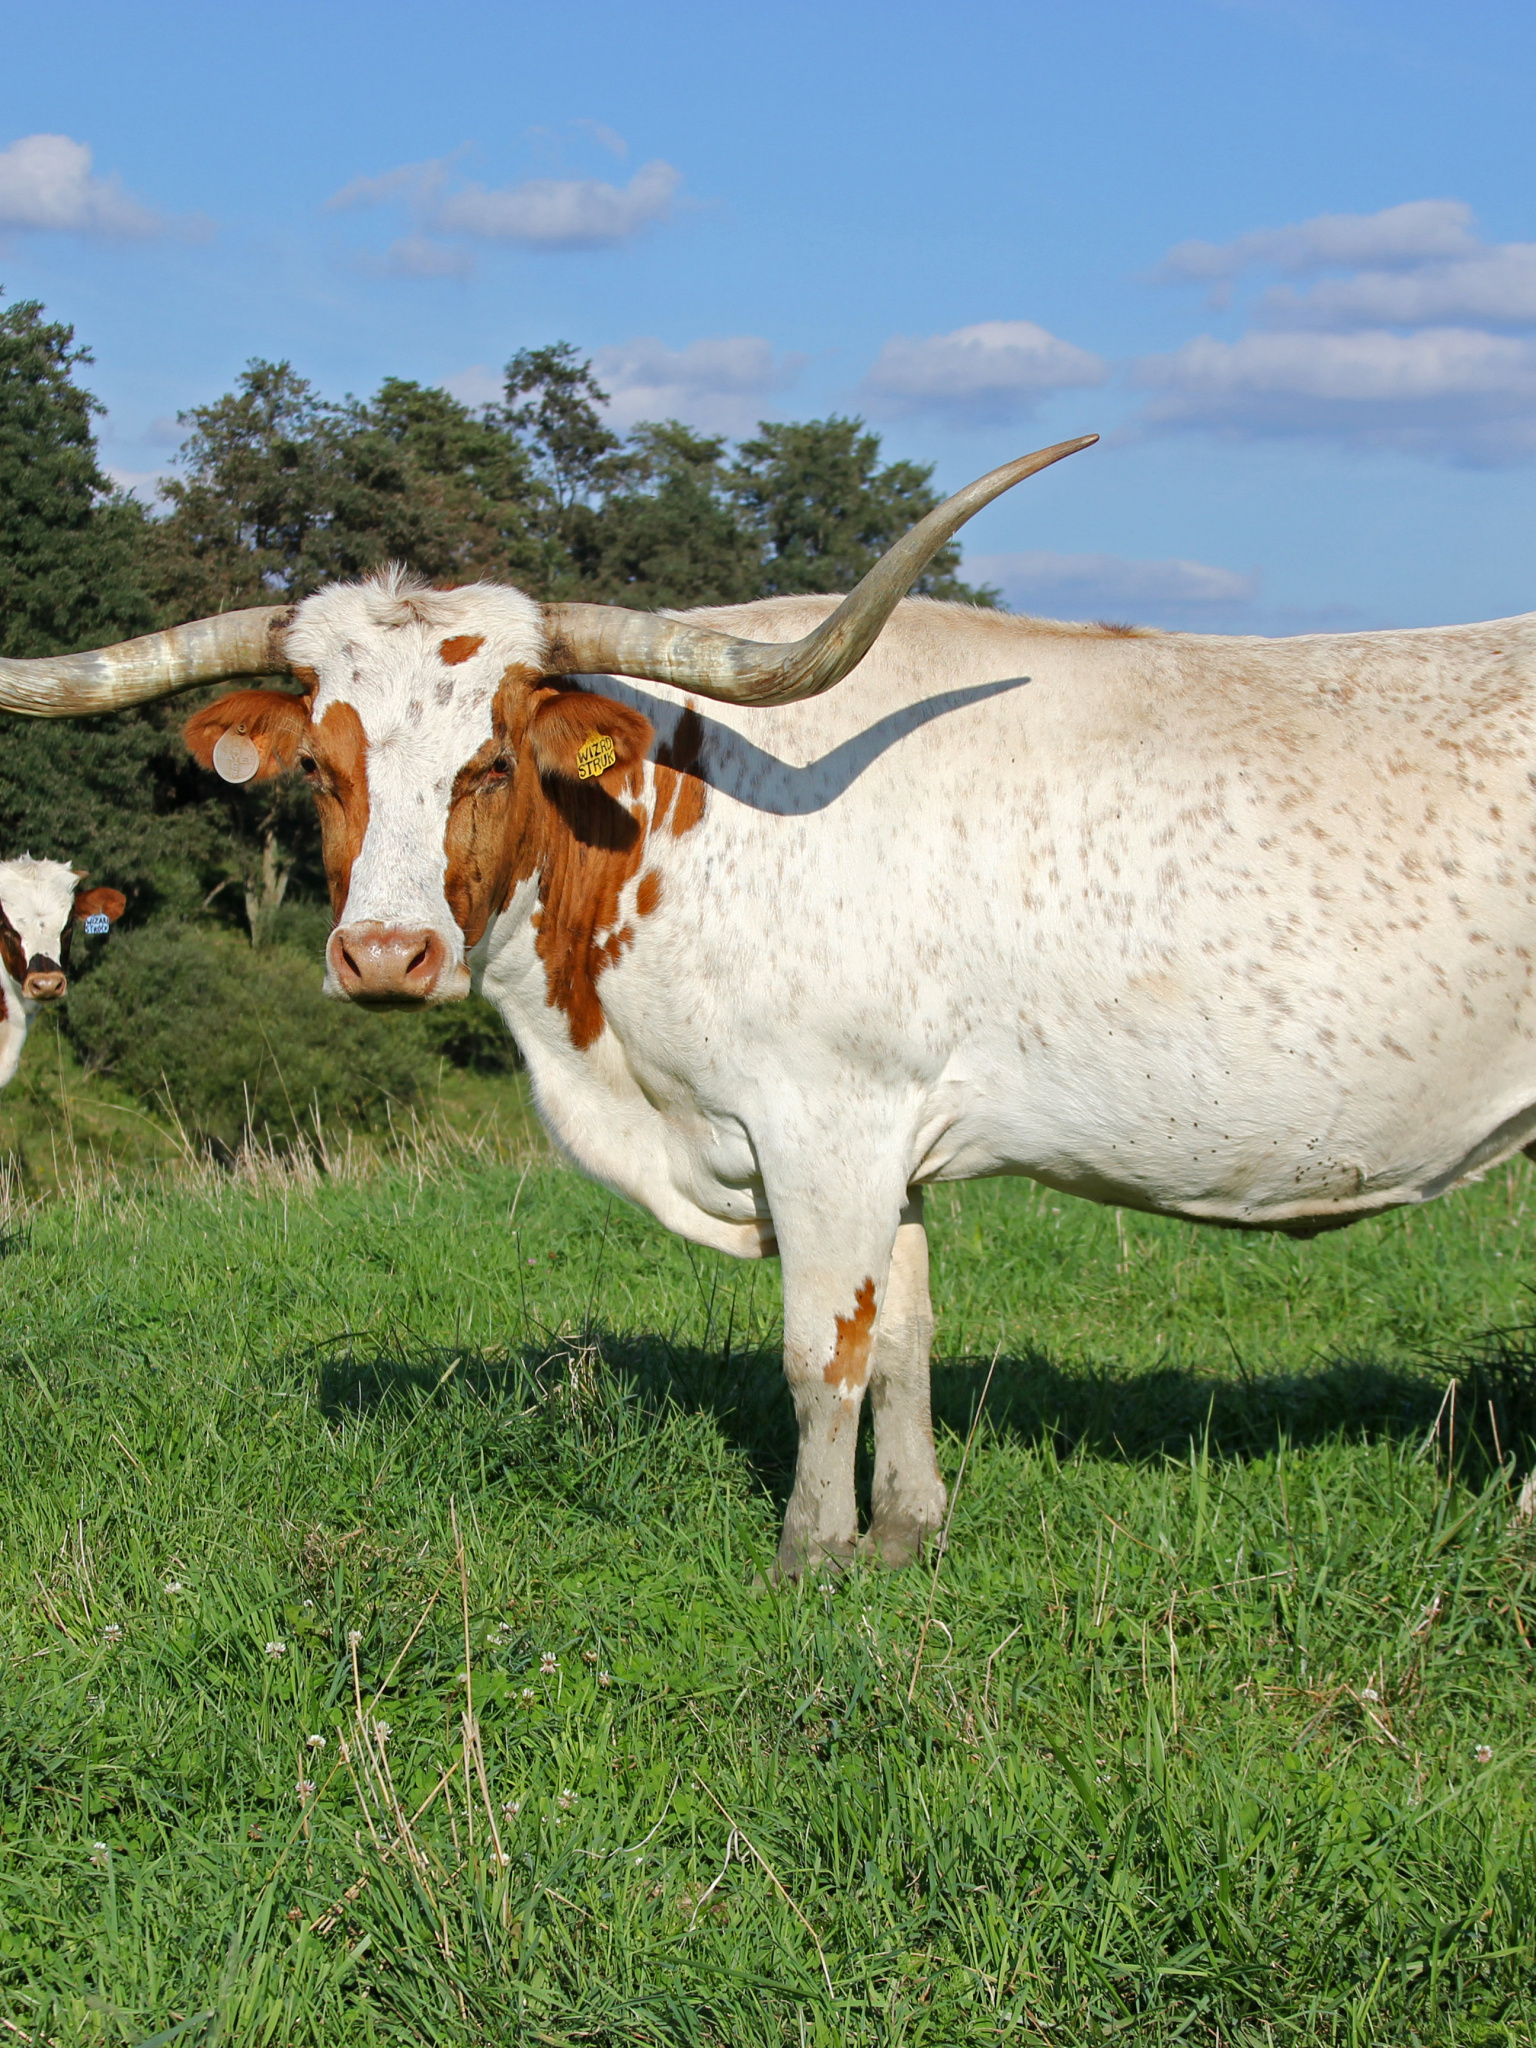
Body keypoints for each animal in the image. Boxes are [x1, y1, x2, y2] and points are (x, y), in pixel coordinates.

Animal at [6, 440, 1531, 1572]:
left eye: (490, 760)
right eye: (324, 768)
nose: (385, 957)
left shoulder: (824, 1119)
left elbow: (820, 1350)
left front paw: (813, 1549)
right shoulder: (889, 1137)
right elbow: (904, 1333)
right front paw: (909, 1532)